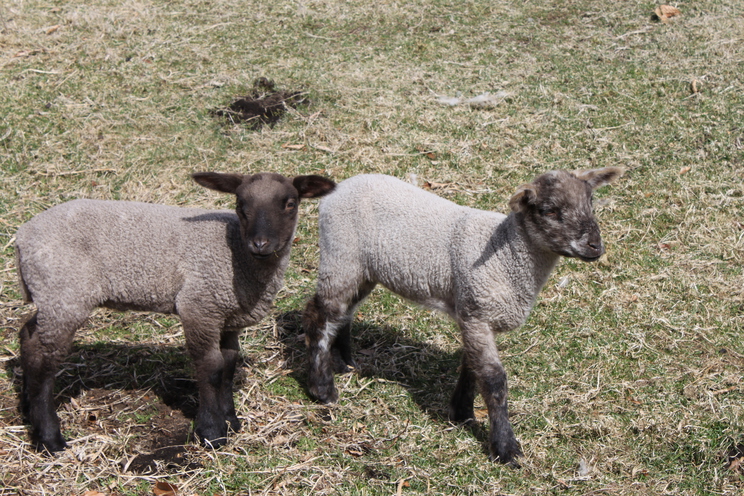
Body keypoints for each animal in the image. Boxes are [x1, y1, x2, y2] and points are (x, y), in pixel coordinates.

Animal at [15, 171, 334, 454]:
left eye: (290, 203)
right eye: (240, 203)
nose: (260, 244)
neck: (236, 253)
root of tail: (22, 237)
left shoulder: (227, 315)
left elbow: (229, 363)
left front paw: (231, 421)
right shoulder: (199, 305)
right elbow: (211, 367)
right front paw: (212, 433)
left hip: (53, 296)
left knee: (29, 336)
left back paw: (29, 411)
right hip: (65, 293)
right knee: (44, 358)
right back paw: (50, 439)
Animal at [302, 168, 620, 464]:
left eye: (591, 203)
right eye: (550, 210)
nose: (595, 245)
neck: (506, 254)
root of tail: (340, 187)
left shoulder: (473, 314)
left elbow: (472, 368)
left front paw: (462, 412)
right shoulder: (478, 313)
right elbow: (493, 380)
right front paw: (505, 448)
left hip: (362, 269)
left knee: (343, 313)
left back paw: (344, 362)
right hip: (340, 254)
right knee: (319, 314)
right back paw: (323, 388)